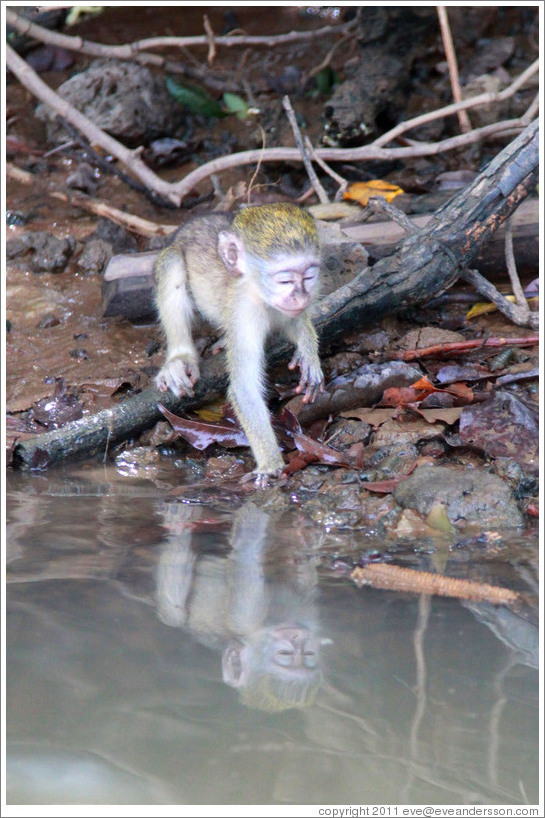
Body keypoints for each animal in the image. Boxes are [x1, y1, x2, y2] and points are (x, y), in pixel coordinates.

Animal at [153, 203, 324, 484]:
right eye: (285, 281)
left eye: (309, 277)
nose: (300, 297)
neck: (259, 293)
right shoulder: (245, 312)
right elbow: (245, 389)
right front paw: (270, 464)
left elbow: (295, 321)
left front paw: (308, 353)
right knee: (172, 261)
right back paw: (180, 358)